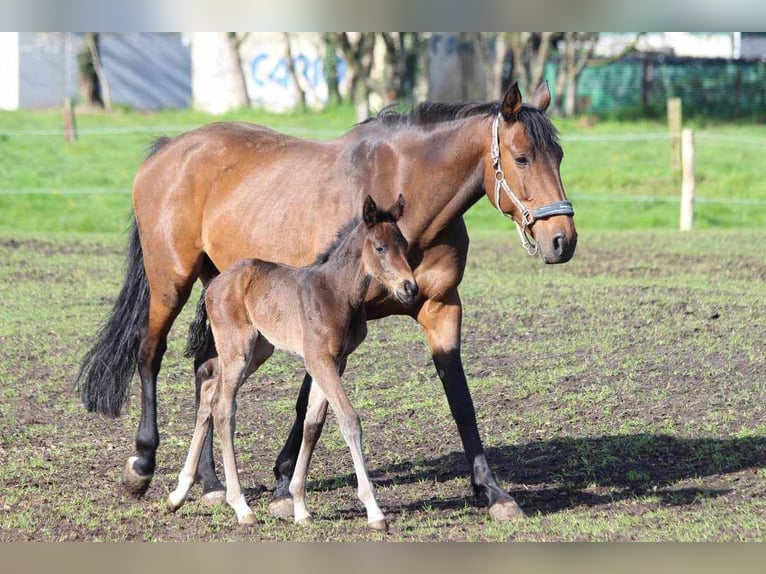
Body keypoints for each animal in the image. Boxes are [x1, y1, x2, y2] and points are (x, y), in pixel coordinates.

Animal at [168, 195, 416, 532]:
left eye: (404, 245)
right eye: (380, 248)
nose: (410, 287)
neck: (336, 293)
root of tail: (215, 282)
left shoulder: (337, 361)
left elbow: (313, 424)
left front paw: (299, 506)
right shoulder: (319, 359)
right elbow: (349, 420)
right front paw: (374, 511)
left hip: (259, 350)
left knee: (208, 390)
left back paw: (178, 493)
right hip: (238, 349)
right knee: (223, 408)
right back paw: (241, 506)